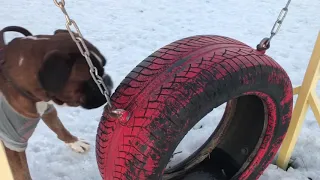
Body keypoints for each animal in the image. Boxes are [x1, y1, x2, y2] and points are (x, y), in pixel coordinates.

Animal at [0, 26, 114, 179]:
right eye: (92, 80)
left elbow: (59, 128)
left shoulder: (47, 110)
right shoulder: (12, 142)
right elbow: (21, 172)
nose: (107, 80)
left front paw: (75, 142)